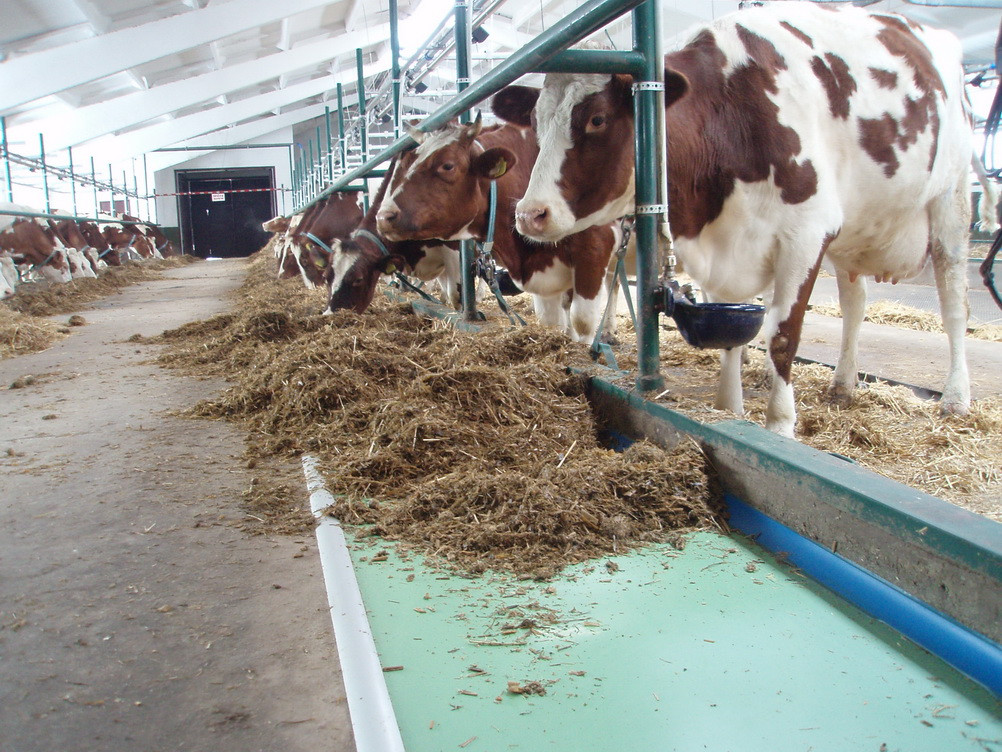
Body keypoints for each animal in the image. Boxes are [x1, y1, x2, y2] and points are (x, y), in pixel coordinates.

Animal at [374, 117, 617, 340]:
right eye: (408, 163)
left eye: (448, 165)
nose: (383, 216)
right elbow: (551, 321)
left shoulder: (593, 250)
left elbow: (582, 322)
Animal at [494, 2, 1002, 435]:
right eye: (536, 122)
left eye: (597, 119)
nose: (530, 214)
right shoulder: (727, 243)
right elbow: (734, 335)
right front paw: (729, 407)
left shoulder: (805, 233)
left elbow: (781, 335)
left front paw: (779, 426)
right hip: (853, 230)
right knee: (855, 304)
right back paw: (843, 383)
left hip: (951, 203)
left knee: (954, 302)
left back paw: (956, 398)